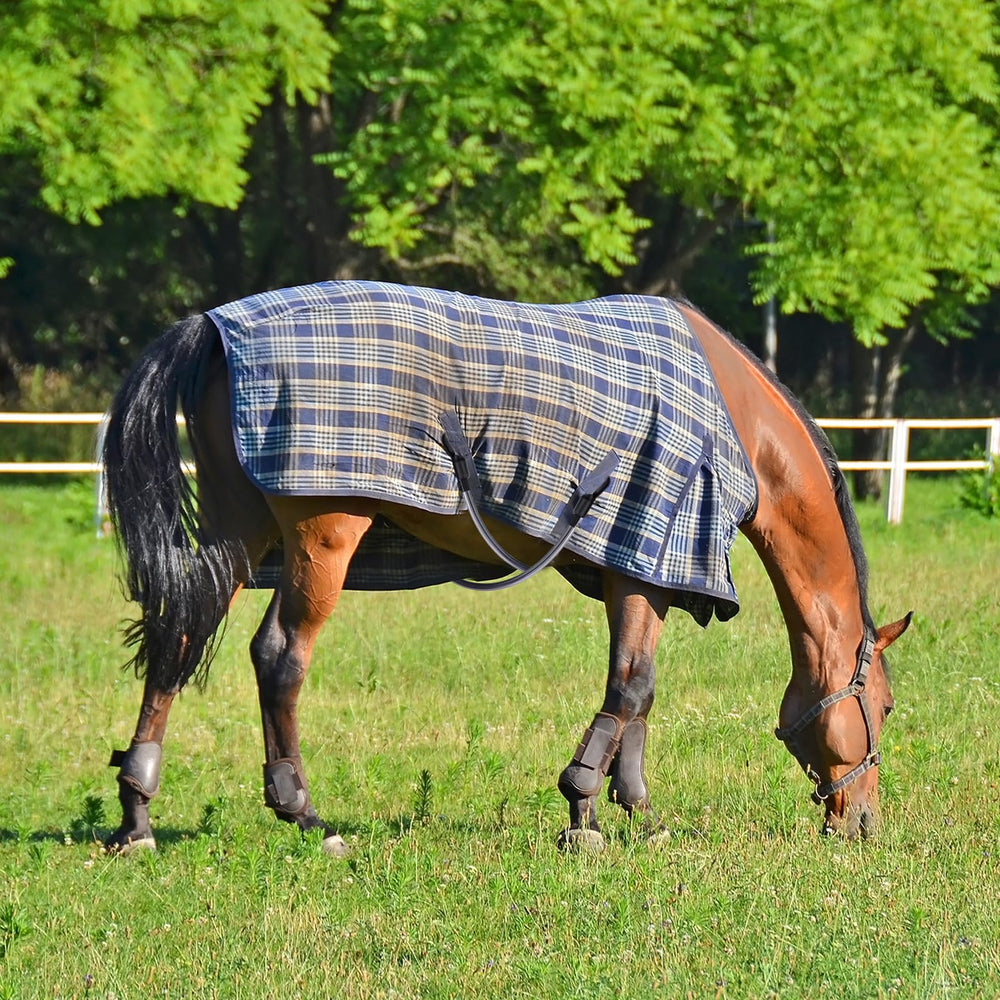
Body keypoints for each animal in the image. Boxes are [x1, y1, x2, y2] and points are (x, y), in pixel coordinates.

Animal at [101, 281, 910, 856]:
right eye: (885, 707)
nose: (864, 822)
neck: (735, 423)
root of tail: (214, 326)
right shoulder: (645, 562)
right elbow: (629, 687)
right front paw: (583, 809)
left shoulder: (642, 569)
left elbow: (639, 692)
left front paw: (636, 810)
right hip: (319, 539)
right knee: (279, 659)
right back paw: (305, 815)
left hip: (239, 533)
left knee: (178, 638)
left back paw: (137, 815)